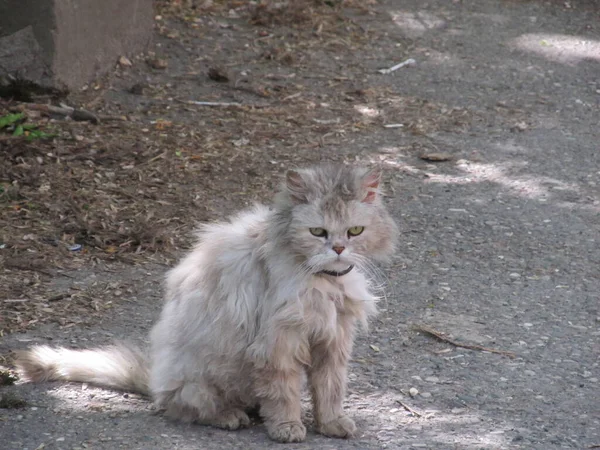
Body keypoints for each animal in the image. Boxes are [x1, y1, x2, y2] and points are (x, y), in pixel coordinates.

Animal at [15, 163, 398, 442]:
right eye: (318, 232)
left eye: (355, 231)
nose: (338, 249)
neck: (324, 282)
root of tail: (155, 382)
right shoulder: (278, 342)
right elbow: (284, 392)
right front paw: (288, 428)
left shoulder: (333, 338)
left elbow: (330, 388)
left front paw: (331, 423)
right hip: (200, 375)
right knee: (187, 407)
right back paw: (231, 416)